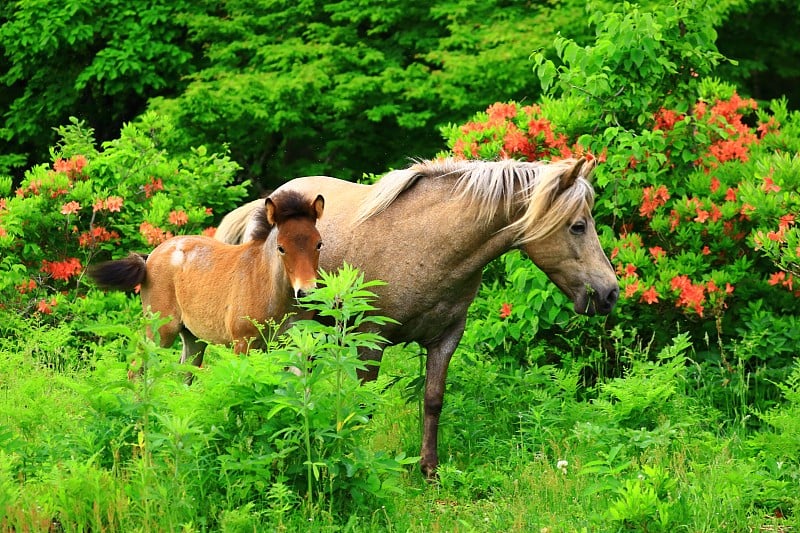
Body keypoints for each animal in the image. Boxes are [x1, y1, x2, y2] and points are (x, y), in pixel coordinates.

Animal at [89, 190, 324, 370]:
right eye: (281, 247)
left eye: (319, 244)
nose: (307, 292)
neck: (268, 287)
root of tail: (149, 258)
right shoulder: (243, 343)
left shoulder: (292, 344)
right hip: (160, 331)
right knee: (137, 368)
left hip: (193, 338)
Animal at [214, 157, 620, 474]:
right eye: (578, 226)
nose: (610, 293)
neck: (429, 243)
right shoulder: (371, 341)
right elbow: (364, 405)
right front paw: (355, 462)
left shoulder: (446, 338)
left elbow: (433, 401)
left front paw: (429, 470)